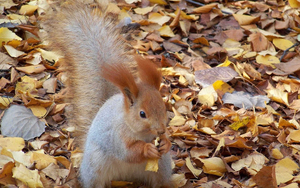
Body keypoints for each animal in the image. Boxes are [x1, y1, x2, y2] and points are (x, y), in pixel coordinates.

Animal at [42, 0, 173, 188]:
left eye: (164, 107)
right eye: (142, 114)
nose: (161, 130)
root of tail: (126, 176)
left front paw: (166, 143)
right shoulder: (116, 136)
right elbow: (128, 152)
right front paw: (147, 149)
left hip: (162, 167)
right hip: (95, 166)